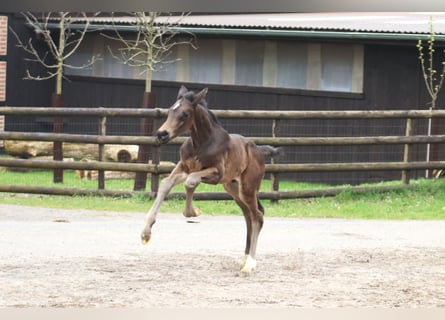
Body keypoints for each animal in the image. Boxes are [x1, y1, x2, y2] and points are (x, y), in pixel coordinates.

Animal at [141, 85, 280, 276]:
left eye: (185, 114)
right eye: (170, 110)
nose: (162, 134)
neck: (201, 143)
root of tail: (259, 151)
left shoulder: (216, 173)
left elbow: (191, 181)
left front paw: (193, 212)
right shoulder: (184, 167)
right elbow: (166, 184)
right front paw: (146, 233)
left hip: (248, 187)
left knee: (257, 216)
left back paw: (250, 264)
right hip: (233, 188)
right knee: (248, 215)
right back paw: (244, 258)